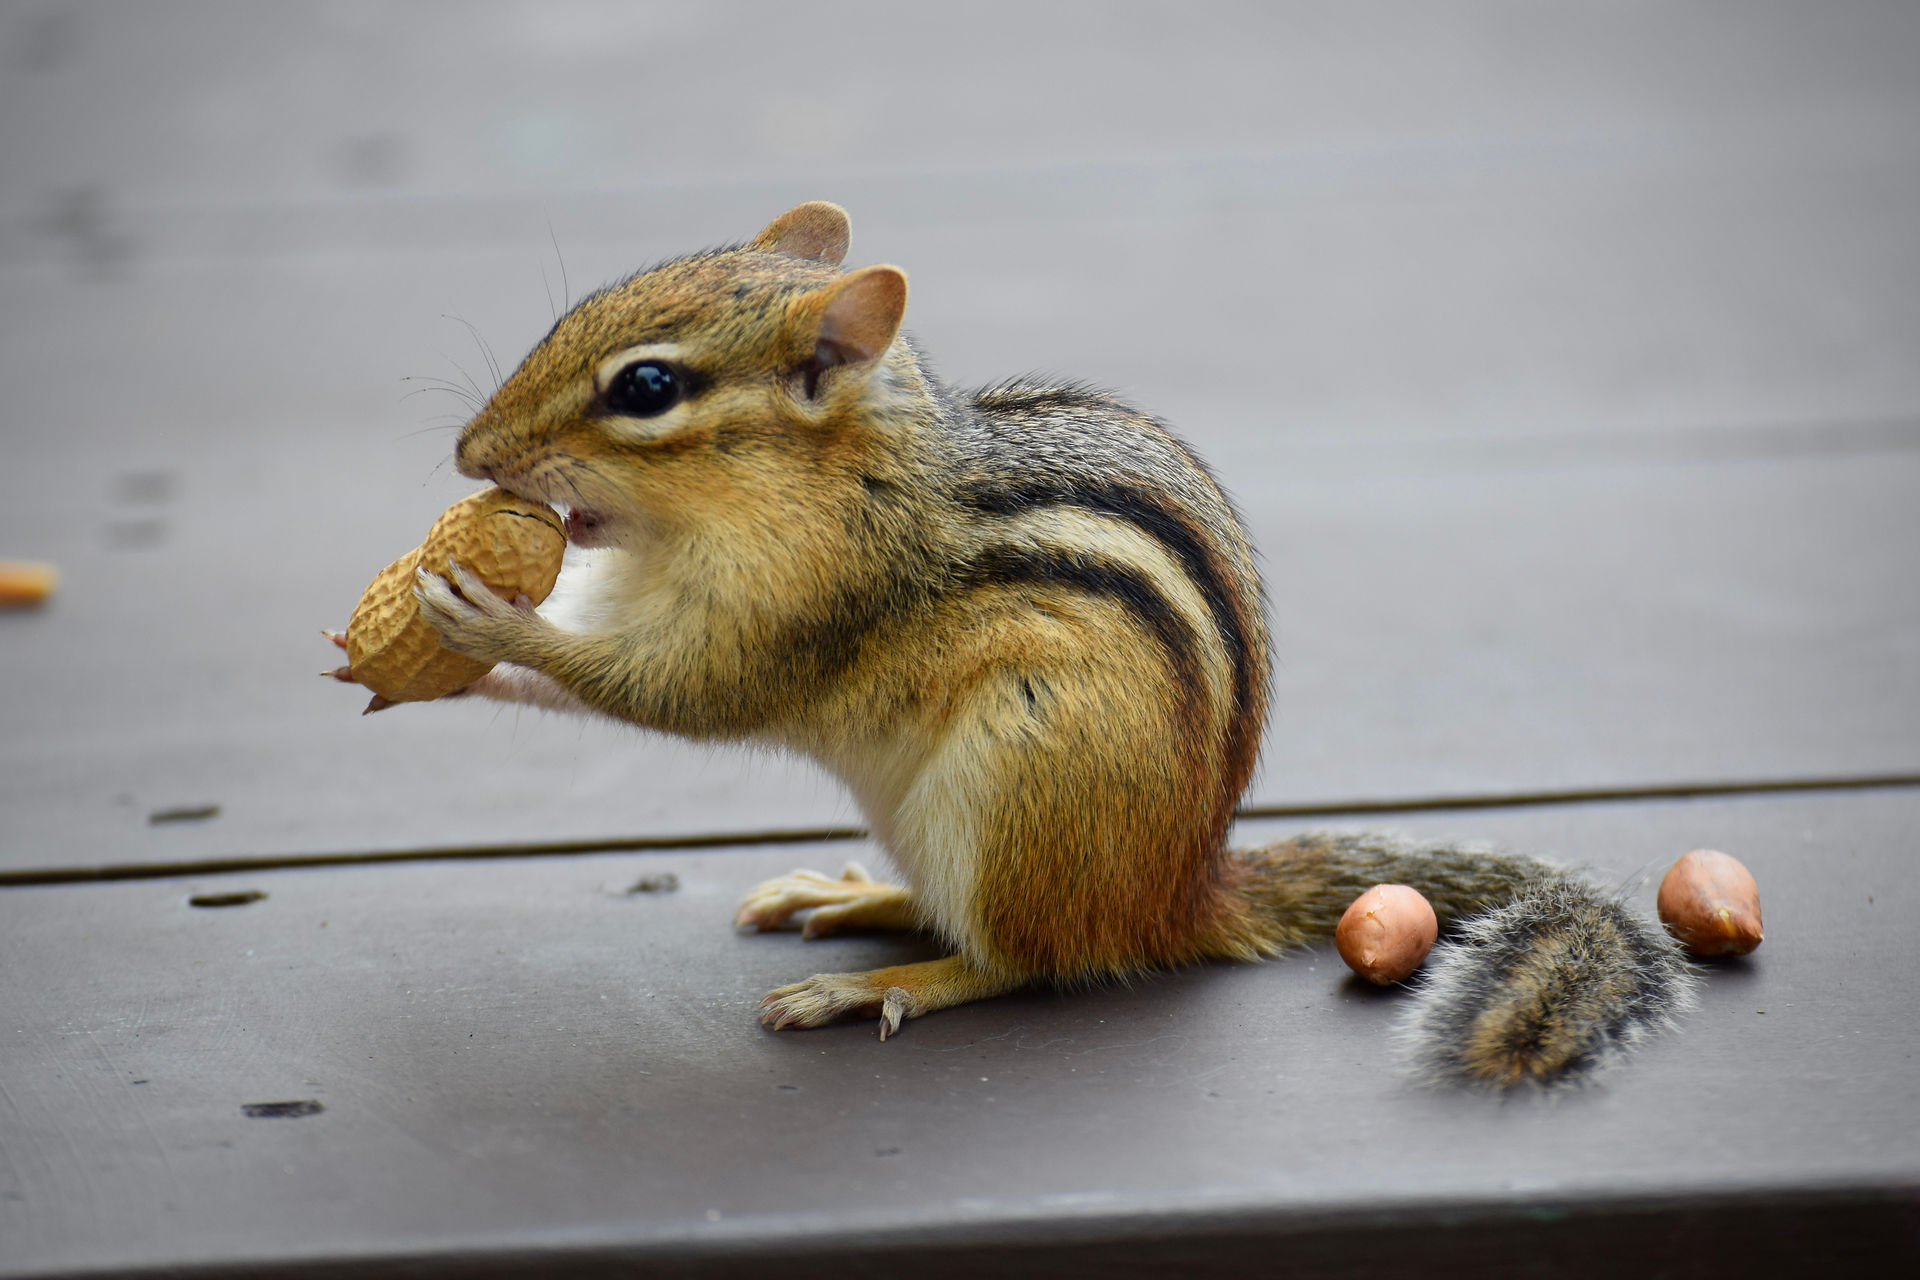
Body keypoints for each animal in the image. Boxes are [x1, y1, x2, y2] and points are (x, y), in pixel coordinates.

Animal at [393, 201, 1695, 1089]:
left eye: (648, 387)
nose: (468, 452)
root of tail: (1176, 893)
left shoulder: (795, 606)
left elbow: (670, 690)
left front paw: (486, 619)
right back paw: (853, 893)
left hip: (1016, 774)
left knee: (1022, 958)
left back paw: (873, 984)